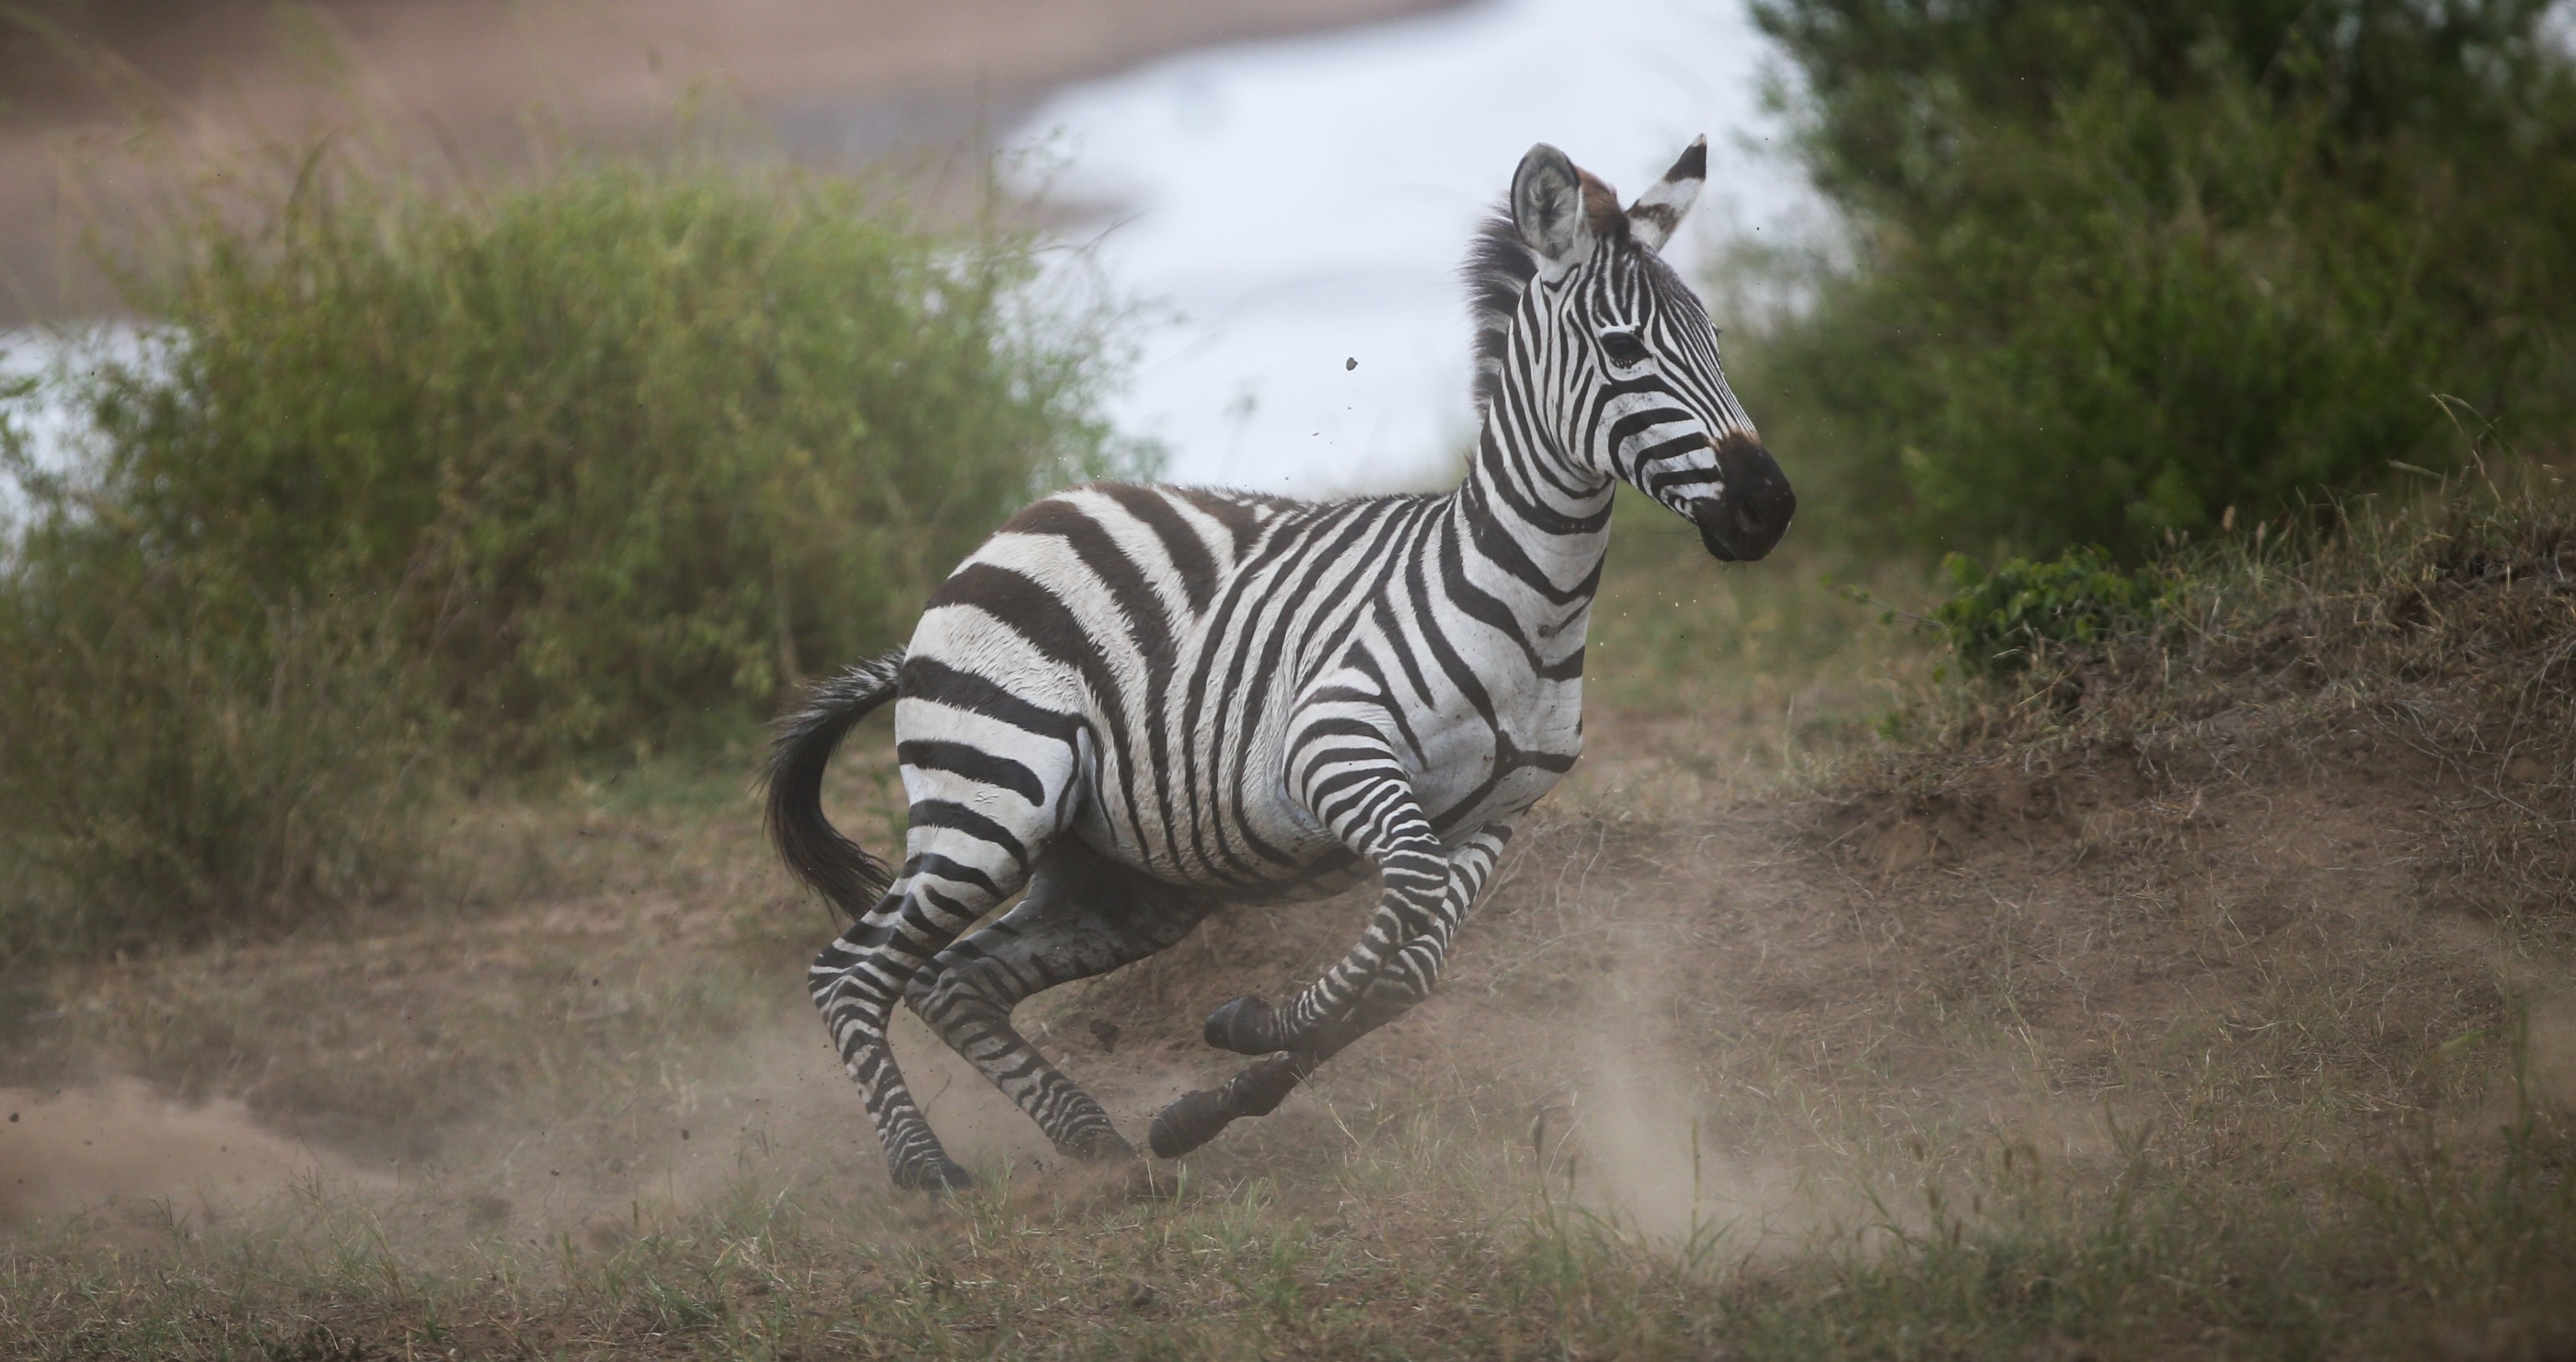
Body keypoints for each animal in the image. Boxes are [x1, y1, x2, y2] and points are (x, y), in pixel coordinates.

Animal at [766, 137, 1794, 1191]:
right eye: (1624, 349)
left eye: (1714, 338)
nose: (1768, 507)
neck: (1529, 607)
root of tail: (1004, 537)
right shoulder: (1328, 752)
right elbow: (1404, 899)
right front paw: (1252, 1023)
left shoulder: (1494, 821)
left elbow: (1409, 972)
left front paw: (1214, 1097)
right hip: (994, 797)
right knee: (852, 970)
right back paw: (926, 1169)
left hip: (1120, 881)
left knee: (958, 979)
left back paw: (1100, 1147)